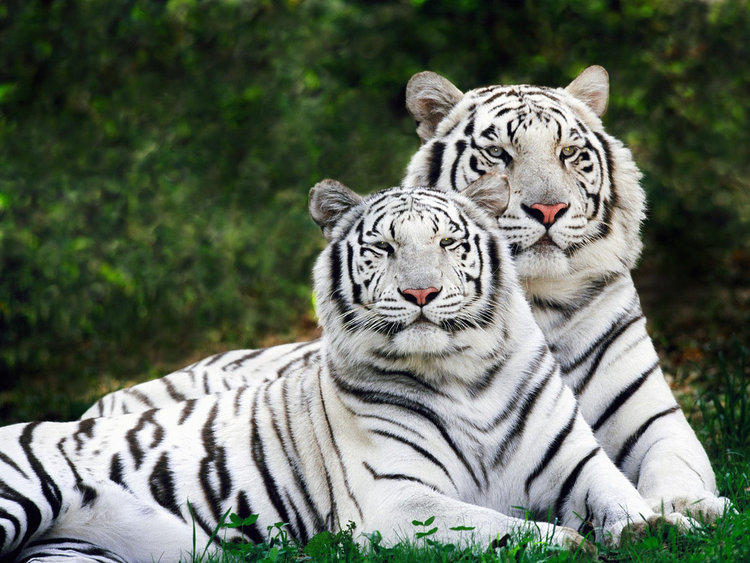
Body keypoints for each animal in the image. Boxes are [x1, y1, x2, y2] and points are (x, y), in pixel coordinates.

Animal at [0, 179, 695, 562]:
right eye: (383, 248)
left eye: (448, 243)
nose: (421, 293)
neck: (464, 375)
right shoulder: (396, 499)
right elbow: (505, 528)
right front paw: (573, 545)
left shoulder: (577, 464)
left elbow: (623, 499)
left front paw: (668, 527)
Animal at [82, 66, 731, 523]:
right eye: (499, 154)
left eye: (570, 153)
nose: (547, 209)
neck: (538, 302)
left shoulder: (653, 417)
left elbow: (676, 464)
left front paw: (692, 509)